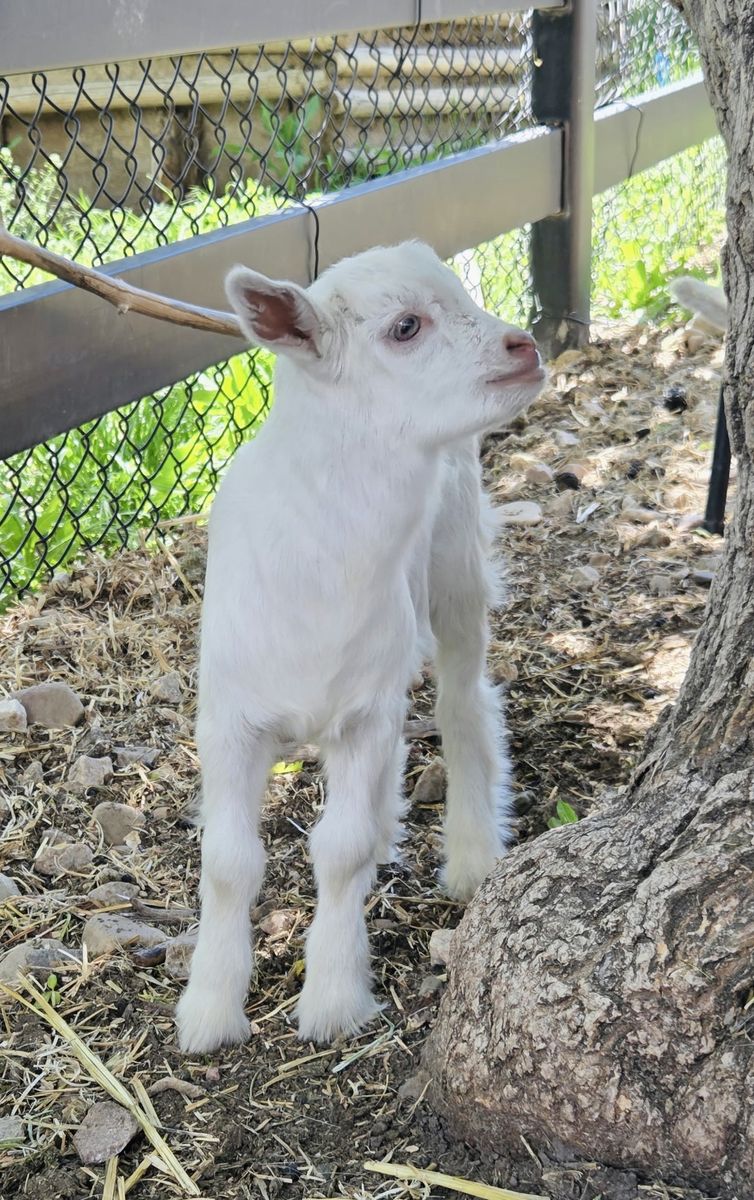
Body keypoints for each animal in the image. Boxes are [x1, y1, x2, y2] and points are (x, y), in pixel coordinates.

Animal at [176, 241, 546, 1054]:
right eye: (405, 327)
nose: (526, 347)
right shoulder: (229, 721)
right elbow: (228, 862)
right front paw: (210, 1008)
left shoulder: (363, 717)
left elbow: (337, 853)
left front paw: (334, 998)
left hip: (454, 563)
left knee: (463, 702)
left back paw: (471, 853)